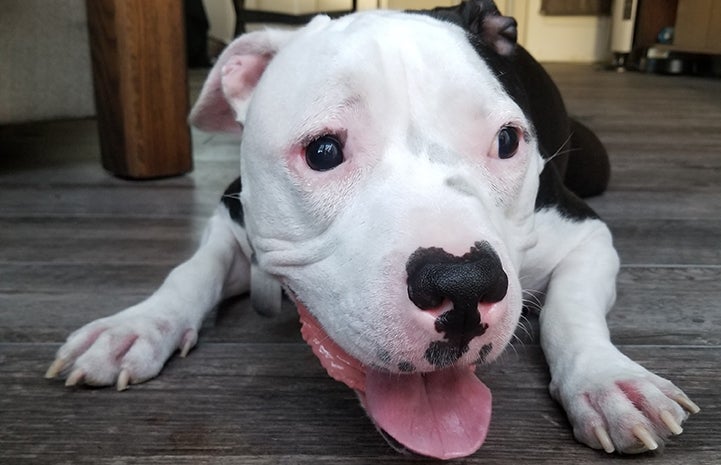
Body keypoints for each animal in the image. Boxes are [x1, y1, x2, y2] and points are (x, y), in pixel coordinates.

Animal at [42, 0, 696, 456]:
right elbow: (189, 270)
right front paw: (134, 326)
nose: (462, 284)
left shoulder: (585, 231)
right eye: (324, 151)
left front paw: (609, 381)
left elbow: (573, 309)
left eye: (508, 141)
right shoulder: (230, 216)